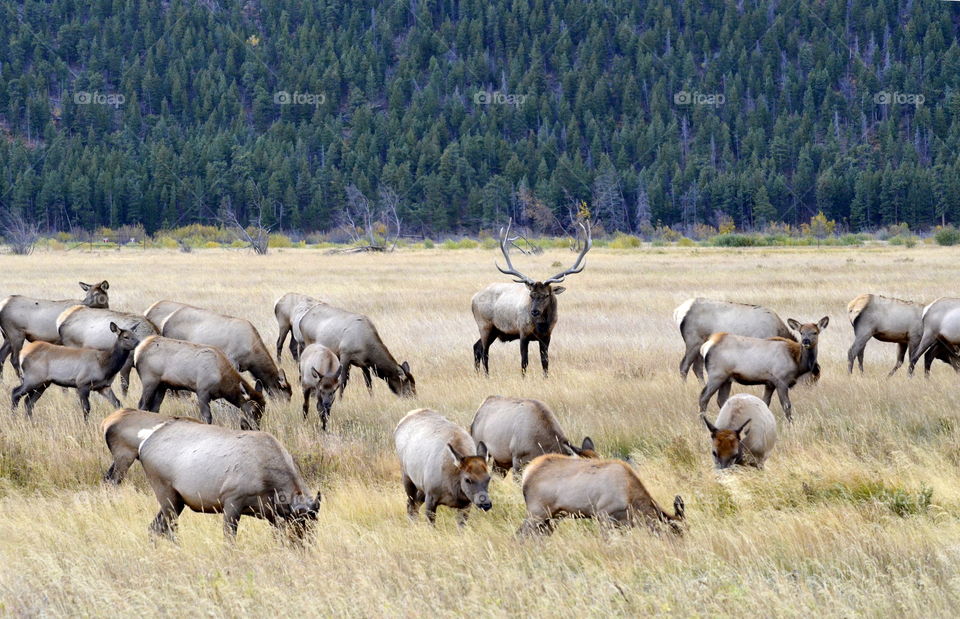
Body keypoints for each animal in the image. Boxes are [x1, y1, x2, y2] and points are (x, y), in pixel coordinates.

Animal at [471, 220, 591, 376]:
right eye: (531, 295)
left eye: (546, 295)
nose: (534, 311)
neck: (542, 325)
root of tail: (473, 298)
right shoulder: (523, 333)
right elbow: (524, 362)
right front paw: (524, 378)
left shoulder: (547, 336)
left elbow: (545, 362)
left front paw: (546, 378)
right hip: (485, 325)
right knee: (485, 352)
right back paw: (486, 376)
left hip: (494, 331)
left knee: (476, 347)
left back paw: (477, 373)